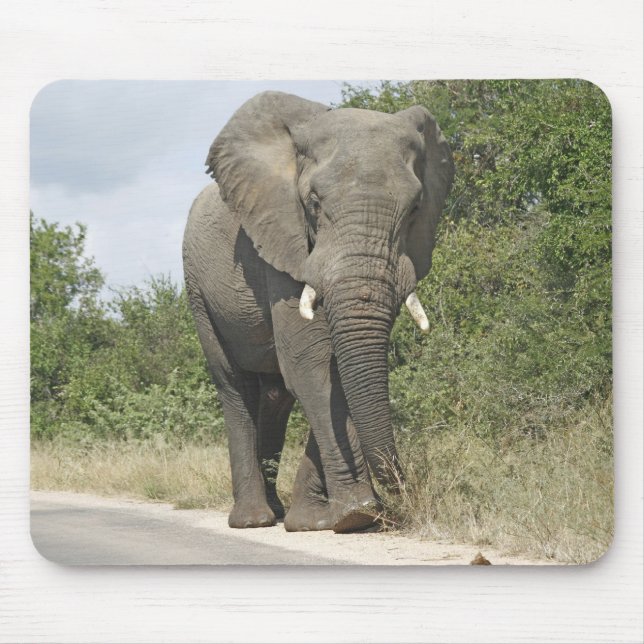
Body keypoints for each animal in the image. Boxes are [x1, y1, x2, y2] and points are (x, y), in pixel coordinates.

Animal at [183, 91, 454, 532]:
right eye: (313, 203)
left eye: (416, 208)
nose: (404, 487)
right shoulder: (283, 242)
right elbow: (311, 366)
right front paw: (357, 515)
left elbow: (334, 368)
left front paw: (315, 521)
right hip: (197, 290)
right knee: (234, 384)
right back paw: (254, 520)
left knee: (275, 395)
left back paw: (277, 513)